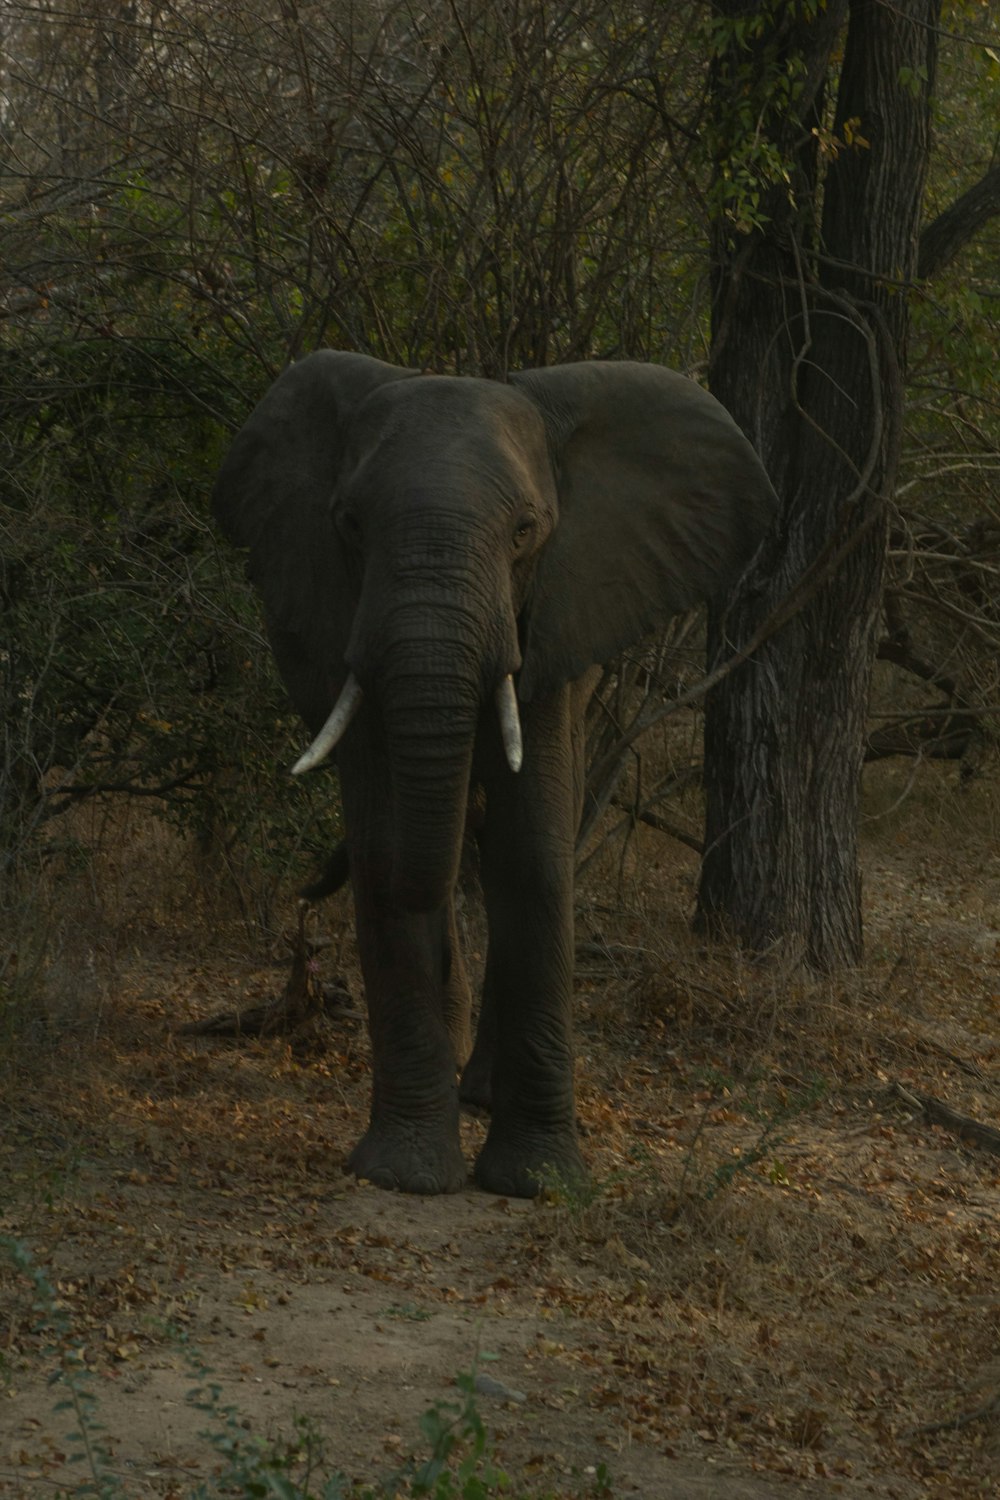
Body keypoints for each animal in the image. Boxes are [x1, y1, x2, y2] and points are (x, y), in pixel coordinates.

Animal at [211, 351, 779, 1194]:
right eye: (350, 525)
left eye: (524, 532)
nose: (306, 900)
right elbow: (388, 853)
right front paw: (407, 1175)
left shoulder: (551, 622)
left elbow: (532, 860)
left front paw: (538, 1182)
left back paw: (476, 1091)